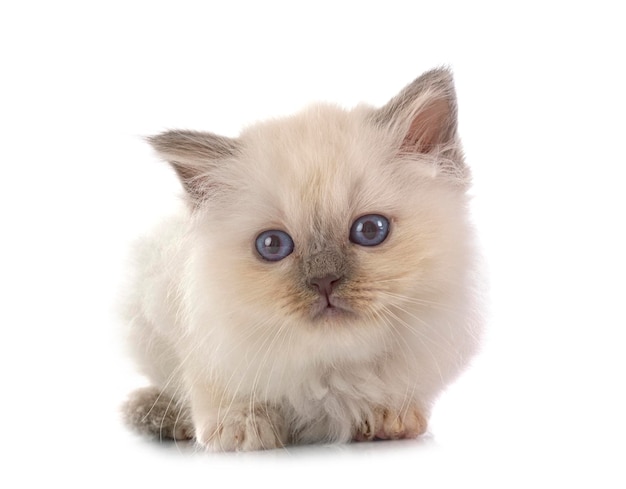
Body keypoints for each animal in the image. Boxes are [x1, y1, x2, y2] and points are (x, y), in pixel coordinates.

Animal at [122, 67, 482, 450]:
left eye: (370, 230)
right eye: (272, 245)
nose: (324, 281)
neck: (331, 371)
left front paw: (387, 416)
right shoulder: (185, 319)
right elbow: (210, 382)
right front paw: (240, 427)